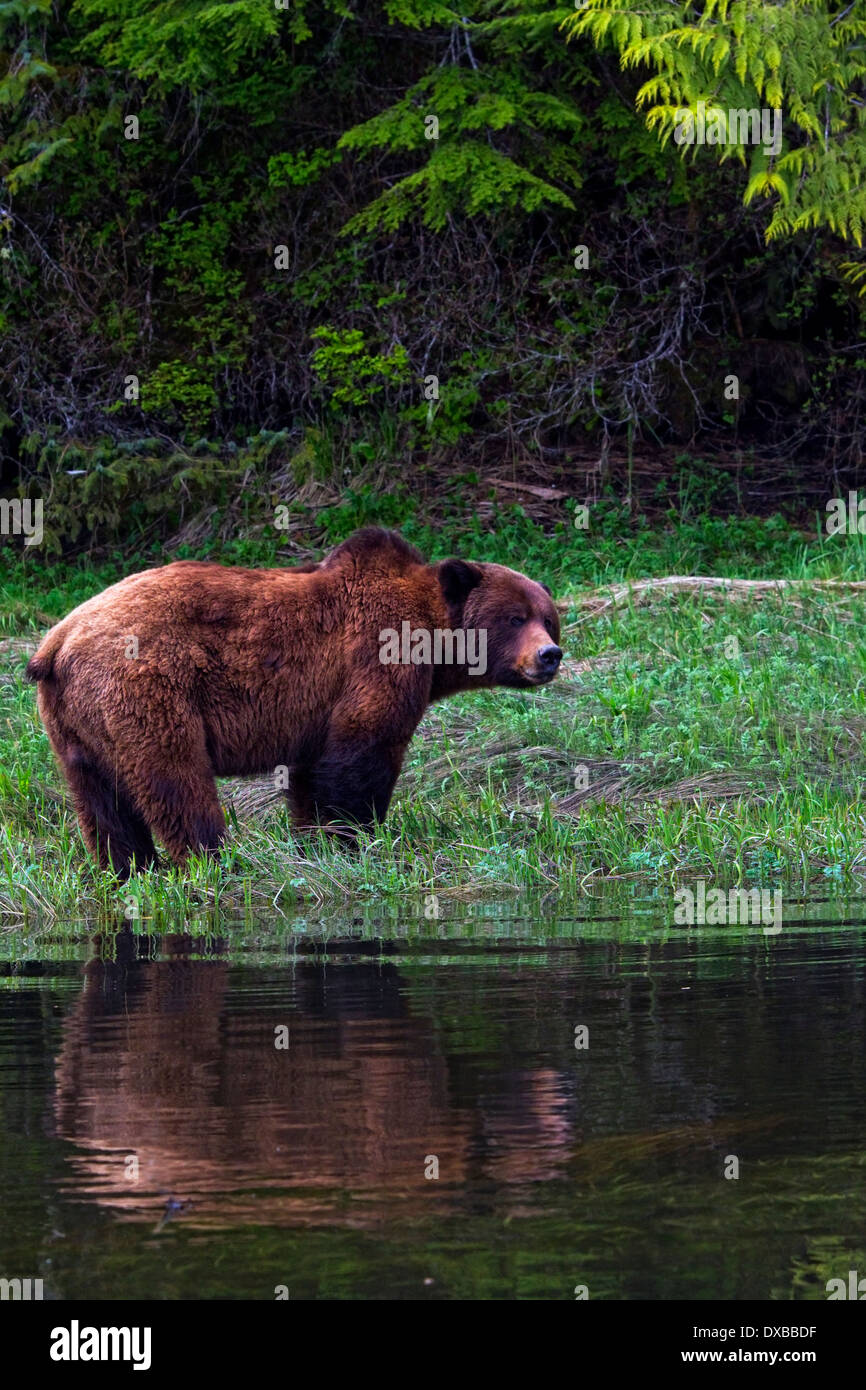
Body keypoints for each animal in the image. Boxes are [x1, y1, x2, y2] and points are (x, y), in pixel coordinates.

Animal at [26, 527, 562, 876]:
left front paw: (314, 841)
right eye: (514, 618)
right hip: (148, 689)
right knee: (176, 780)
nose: (549, 655)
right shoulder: (374, 661)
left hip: (75, 721)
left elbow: (310, 777)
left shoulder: (316, 711)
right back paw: (215, 860)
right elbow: (361, 758)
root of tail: (57, 641)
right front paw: (356, 839)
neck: (431, 637)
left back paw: (126, 870)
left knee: (101, 802)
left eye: (548, 618)